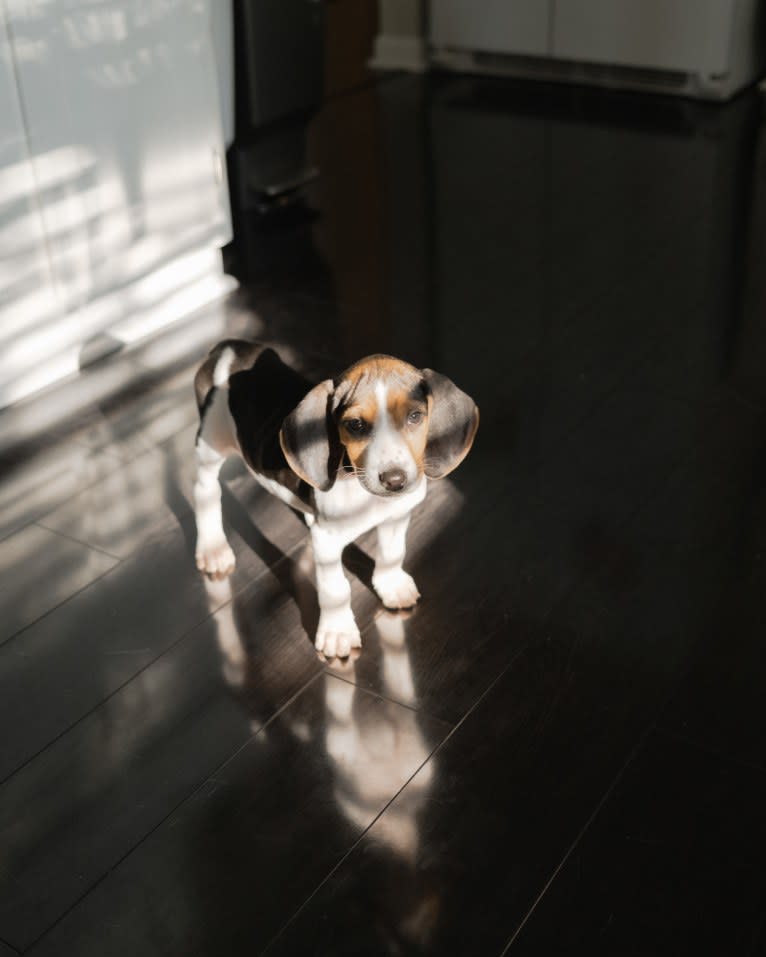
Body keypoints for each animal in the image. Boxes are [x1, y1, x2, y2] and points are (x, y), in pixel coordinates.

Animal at [194, 342, 480, 656]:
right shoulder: (328, 540)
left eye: (415, 417)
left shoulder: (396, 516)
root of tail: (229, 347)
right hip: (210, 446)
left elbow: (392, 553)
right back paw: (213, 549)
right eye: (355, 425)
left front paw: (391, 585)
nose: (395, 481)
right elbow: (336, 588)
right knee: (206, 493)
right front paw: (337, 631)